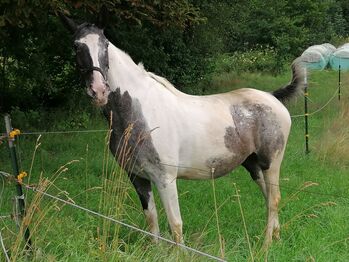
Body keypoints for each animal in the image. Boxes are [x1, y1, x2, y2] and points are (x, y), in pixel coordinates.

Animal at [61, 16, 304, 248]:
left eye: (105, 45)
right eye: (76, 46)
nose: (98, 91)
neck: (140, 113)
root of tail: (272, 97)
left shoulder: (165, 179)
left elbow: (175, 223)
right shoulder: (137, 177)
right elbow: (151, 218)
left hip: (270, 163)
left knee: (274, 199)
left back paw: (266, 245)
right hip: (253, 165)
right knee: (269, 198)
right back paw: (276, 238)